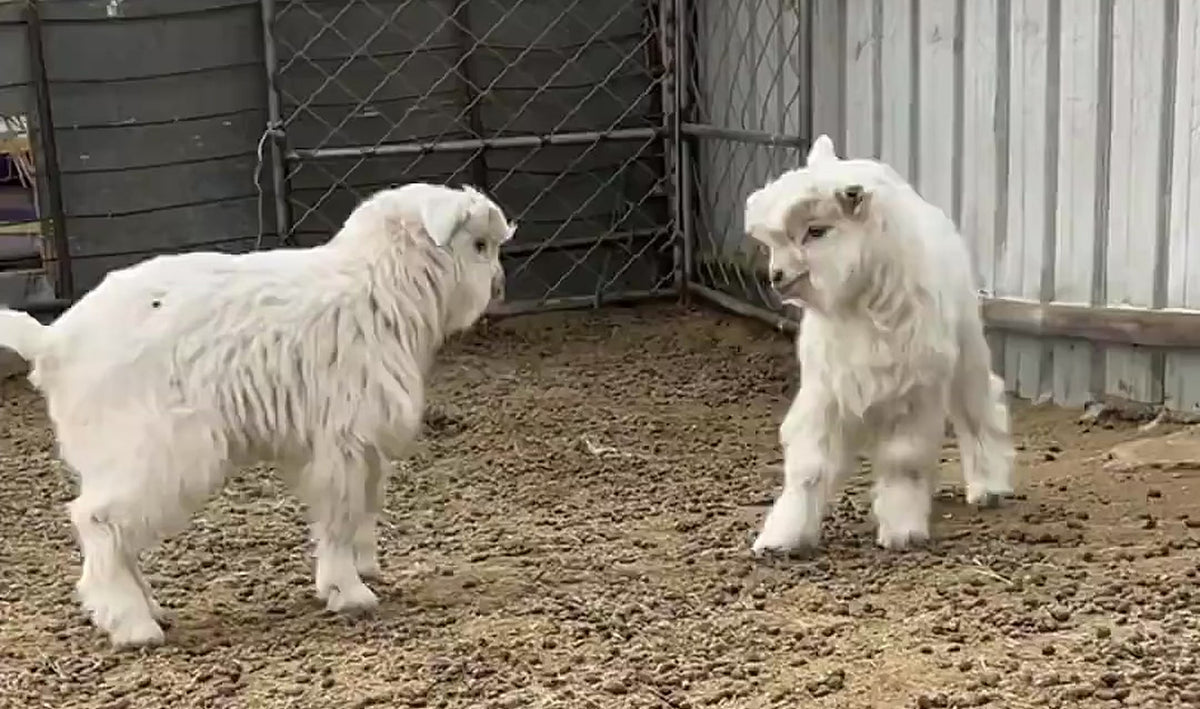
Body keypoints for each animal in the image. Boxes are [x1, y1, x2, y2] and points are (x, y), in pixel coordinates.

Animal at [0, 182, 516, 647]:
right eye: (479, 244)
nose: (499, 287)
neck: (382, 286)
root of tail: (51, 343)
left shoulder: (362, 444)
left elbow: (365, 507)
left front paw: (365, 568)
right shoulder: (342, 439)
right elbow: (341, 514)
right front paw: (349, 592)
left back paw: (149, 609)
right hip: (154, 449)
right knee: (98, 521)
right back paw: (133, 626)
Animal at [744, 135, 1013, 554]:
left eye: (816, 231)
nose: (777, 276)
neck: (858, 305)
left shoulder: (913, 394)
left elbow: (902, 461)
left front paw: (903, 531)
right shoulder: (827, 391)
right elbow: (808, 466)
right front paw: (781, 537)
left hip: (967, 348)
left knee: (978, 408)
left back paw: (988, 488)